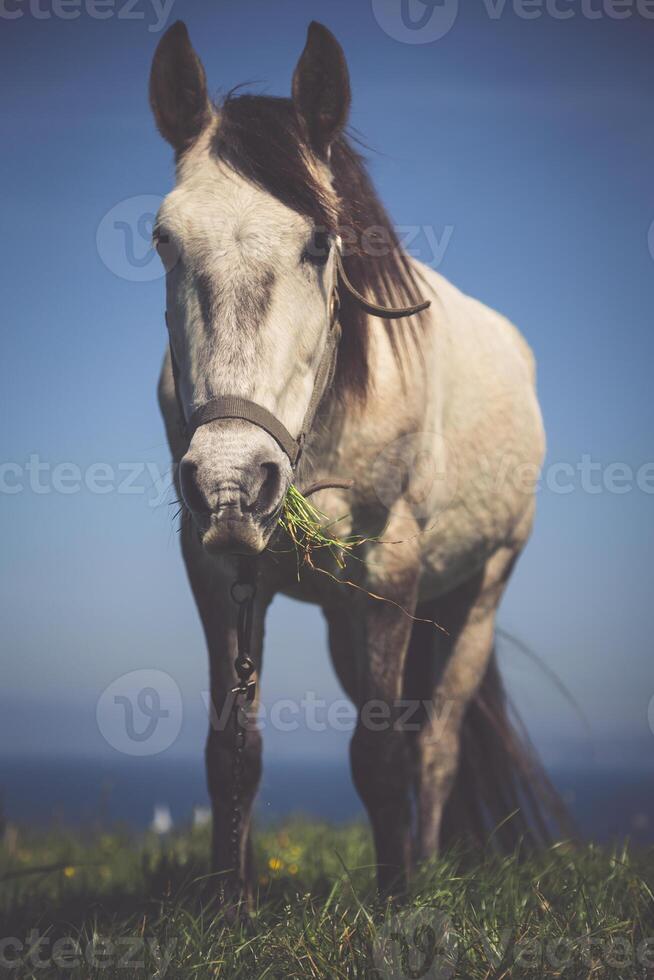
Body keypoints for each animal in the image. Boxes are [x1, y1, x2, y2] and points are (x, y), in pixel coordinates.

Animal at [151, 17, 552, 904]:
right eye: (162, 240)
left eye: (319, 243)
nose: (231, 480)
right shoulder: (216, 567)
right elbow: (233, 753)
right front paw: (228, 908)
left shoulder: (391, 566)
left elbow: (381, 755)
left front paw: (399, 901)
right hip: (343, 617)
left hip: (481, 590)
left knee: (434, 745)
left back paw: (427, 867)